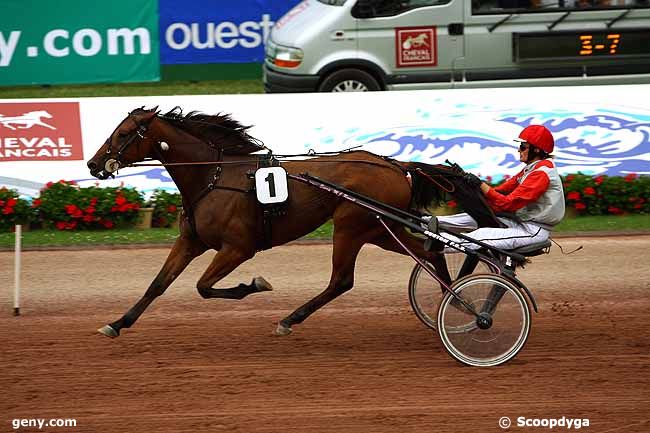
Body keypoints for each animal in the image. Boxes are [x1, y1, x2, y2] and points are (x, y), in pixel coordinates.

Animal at [86, 106, 498, 336]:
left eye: (124, 133)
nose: (92, 164)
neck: (214, 176)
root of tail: (396, 165)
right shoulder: (191, 241)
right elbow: (158, 284)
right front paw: (118, 324)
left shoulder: (238, 248)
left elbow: (204, 287)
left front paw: (253, 285)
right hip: (383, 228)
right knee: (431, 252)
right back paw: (456, 302)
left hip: (352, 226)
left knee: (342, 281)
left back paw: (290, 319)